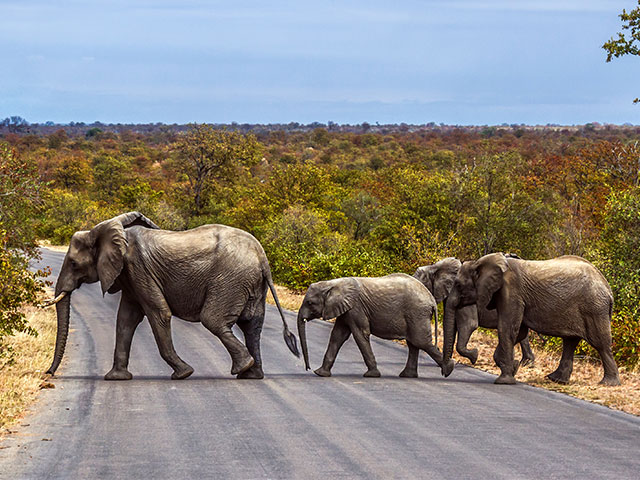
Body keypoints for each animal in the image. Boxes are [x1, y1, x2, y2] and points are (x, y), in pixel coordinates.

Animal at [45, 212, 300, 380]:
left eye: (74, 263)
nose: (48, 374)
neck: (107, 230)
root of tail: (262, 257)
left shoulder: (138, 268)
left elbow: (158, 313)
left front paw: (183, 374)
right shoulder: (131, 277)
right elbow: (126, 319)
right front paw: (116, 378)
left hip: (230, 279)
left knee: (213, 320)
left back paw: (241, 368)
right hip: (251, 284)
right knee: (251, 325)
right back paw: (251, 374)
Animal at [296, 274, 456, 378]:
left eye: (310, 303)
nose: (308, 368)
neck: (333, 284)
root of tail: (431, 299)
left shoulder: (356, 308)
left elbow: (360, 334)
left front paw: (372, 375)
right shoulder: (346, 309)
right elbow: (337, 336)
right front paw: (320, 373)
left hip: (417, 313)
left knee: (420, 341)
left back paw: (448, 369)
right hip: (415, 316)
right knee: (413, 344)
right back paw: (407, 375)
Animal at [440, 251, 620, 386]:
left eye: (458, 285)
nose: (447, 371)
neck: (481, 263)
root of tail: (607, 287)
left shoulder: (511, 291)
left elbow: (506, 328)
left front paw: (504, 380)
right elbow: (517, 331)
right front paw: (513, 367)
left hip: (594, 308)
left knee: (600, 343)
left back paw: (608, 383)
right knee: (570, 342)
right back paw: (556, 379)